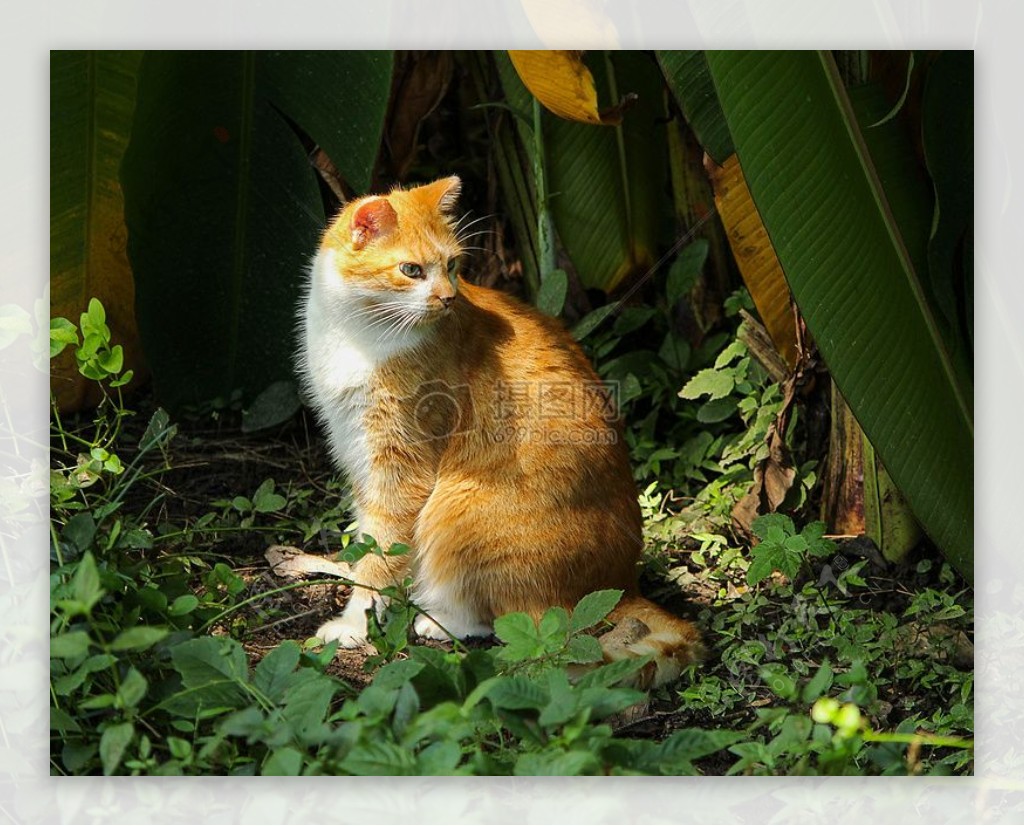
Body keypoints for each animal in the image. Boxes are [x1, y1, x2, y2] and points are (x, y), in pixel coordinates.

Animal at [299, 178, 704, 687]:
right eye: (411, 270)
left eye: (452, 266)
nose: (446, 298)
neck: (359, 334)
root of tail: (622, 584)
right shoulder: (357, 453)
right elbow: (373, 544)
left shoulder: (401, 468)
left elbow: (379, 555)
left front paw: (355, 623)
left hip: (457, 509)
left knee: (505, 617)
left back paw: (440, 620)